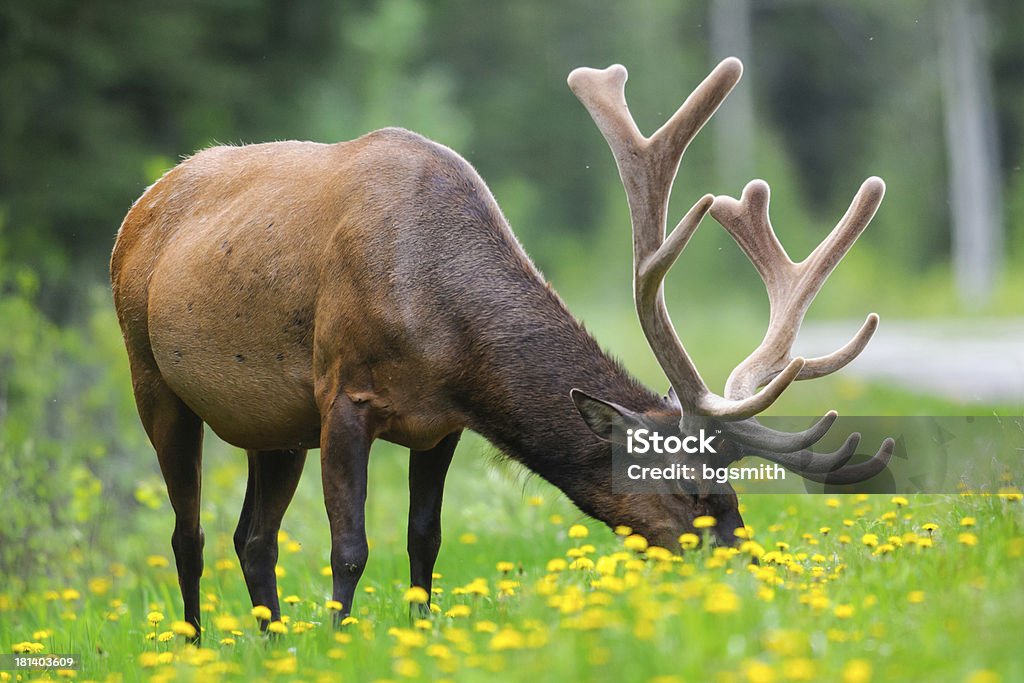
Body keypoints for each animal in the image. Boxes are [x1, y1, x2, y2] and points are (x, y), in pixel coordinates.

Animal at [112, 57, 892, 634]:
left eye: (732, 495)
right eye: (691, 492)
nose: (752, 578)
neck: (438, 321)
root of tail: (139, 206)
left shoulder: (440, 424)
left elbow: (423, 539)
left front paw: (417, 635)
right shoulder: (342, 392)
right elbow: (350, 546)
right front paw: (340, 642)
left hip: (275, 427)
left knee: (252, 538)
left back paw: (273, 644)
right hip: (151, 375)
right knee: (190, 535)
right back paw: (194, 644)